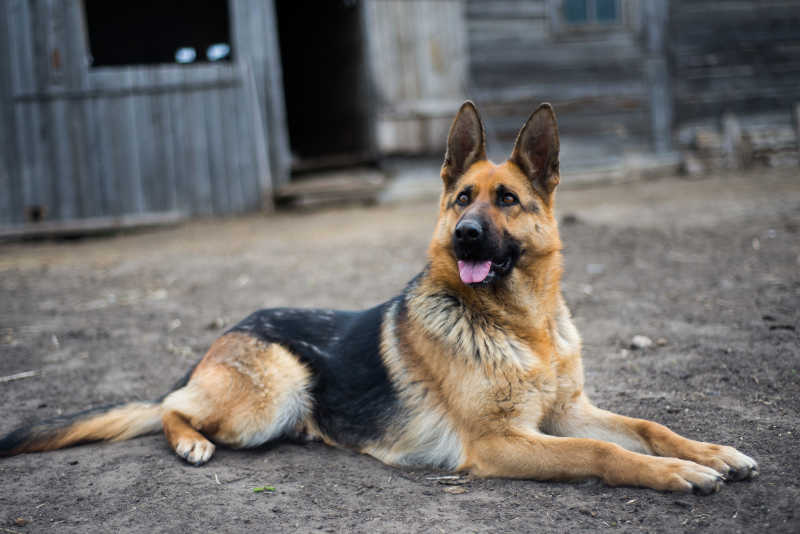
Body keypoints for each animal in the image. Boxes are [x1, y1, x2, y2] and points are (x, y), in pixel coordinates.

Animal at [1, 102, 756, 496]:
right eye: (461, 198)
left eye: (507, 200)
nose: (465, 235)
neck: (523, 327)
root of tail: (227, 333)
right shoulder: (504, 443)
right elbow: (604, 454)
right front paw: (674, 473)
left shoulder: (567, 412)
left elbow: (648, 428)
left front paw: (709, 452)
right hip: (273, 393)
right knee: (170, 407)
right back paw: (190, 443)